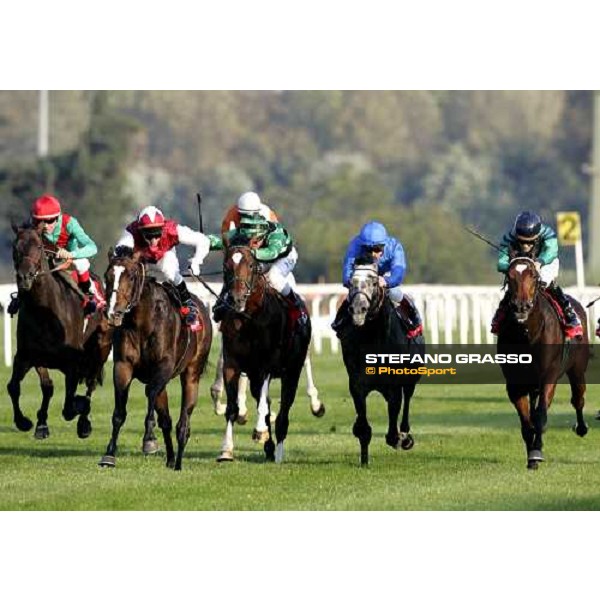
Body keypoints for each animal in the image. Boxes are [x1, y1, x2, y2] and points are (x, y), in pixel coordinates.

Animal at [7, 223, 112, 438]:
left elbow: (70, 404)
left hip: (102, 348)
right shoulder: (29, 355)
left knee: (91, 383)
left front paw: (79, 409)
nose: (24, 278)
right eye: (15, 247)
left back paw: (84, 423)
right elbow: (23, 387)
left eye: (39, 246)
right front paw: (31, 423)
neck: (44, 311)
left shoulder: (73, 361)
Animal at [98, 251, 211, 472]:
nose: (113, 312)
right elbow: (119, 412)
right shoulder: (123, 366)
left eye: (131, 277)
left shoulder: (163, 366)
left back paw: (178, 462)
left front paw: (149, 439)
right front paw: (109, 454)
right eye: (108, 276)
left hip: (192, 373)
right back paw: (170, 459)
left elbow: (149, 393)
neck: (142, 323)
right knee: (166, 420)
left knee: (183, 422)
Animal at [217, 244, 310, 464]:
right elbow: (233, 408)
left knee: (283, 411)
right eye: (226, 266)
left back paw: (278, 453)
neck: (249, 319)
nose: (237, 298)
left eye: (251, 265)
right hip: (254, 377)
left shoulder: (266, 365)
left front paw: (260, 430)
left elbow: (263, 406)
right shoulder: (232, 364)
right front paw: (226, 450)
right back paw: (269, 447)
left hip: (291, 372)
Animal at [336, 255, 424, 466]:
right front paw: (364, 460)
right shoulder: (357, 384)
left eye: (374, 282)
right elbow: (363, 427)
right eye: (351, 281)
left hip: (412, 377)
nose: (358, 309)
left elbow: (393, 426)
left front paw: (399, 438)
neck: (373, 338)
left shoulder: (394, 384)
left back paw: (406, 436)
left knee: (407, 401)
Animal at [494, 255, 588, 472]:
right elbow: (526, 422)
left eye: (534, 276)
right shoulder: (515, 383)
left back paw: (581, 427)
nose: (521, 307)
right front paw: (531, 456)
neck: (527, 334)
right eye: (509, 276)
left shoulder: (549, 375)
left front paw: (536, 452)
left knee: (578, 399)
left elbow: (540, 417)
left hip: (577, 368)